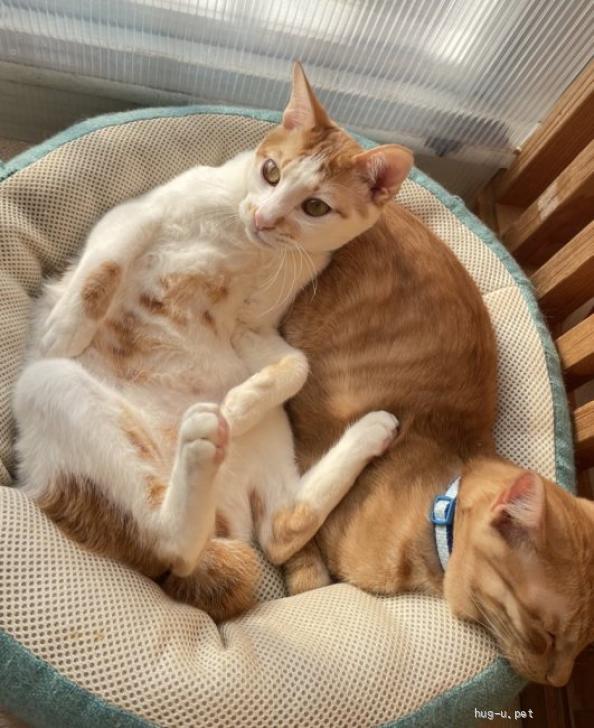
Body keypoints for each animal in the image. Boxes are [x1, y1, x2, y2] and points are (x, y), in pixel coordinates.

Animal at [12, 63, 410, 622]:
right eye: (271, 172)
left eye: (315, 206)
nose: (264, 218)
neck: (247, 244)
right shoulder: (135, 215)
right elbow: (107, 263)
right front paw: (65, 327)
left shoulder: (254, 330)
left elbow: (298, 366)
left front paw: (240, 405)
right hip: (51, 387)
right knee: (175, 542)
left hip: (268, 436)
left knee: (269, 530)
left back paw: (351, 430)